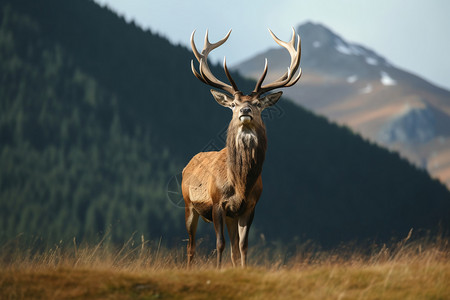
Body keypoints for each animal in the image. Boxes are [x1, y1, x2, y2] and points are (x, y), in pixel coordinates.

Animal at [180, 27, 302, 268]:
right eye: (234, 104)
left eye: (257, 104)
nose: (245, 110)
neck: (240, 184)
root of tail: (188, 164)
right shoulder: (217, 203)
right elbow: (219, 244)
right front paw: (217, 270)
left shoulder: (249, 207)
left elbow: (243, 247)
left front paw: (243, 269)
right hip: (189, 205)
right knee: (191, 246)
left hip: (230, 216)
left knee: (234, 248)